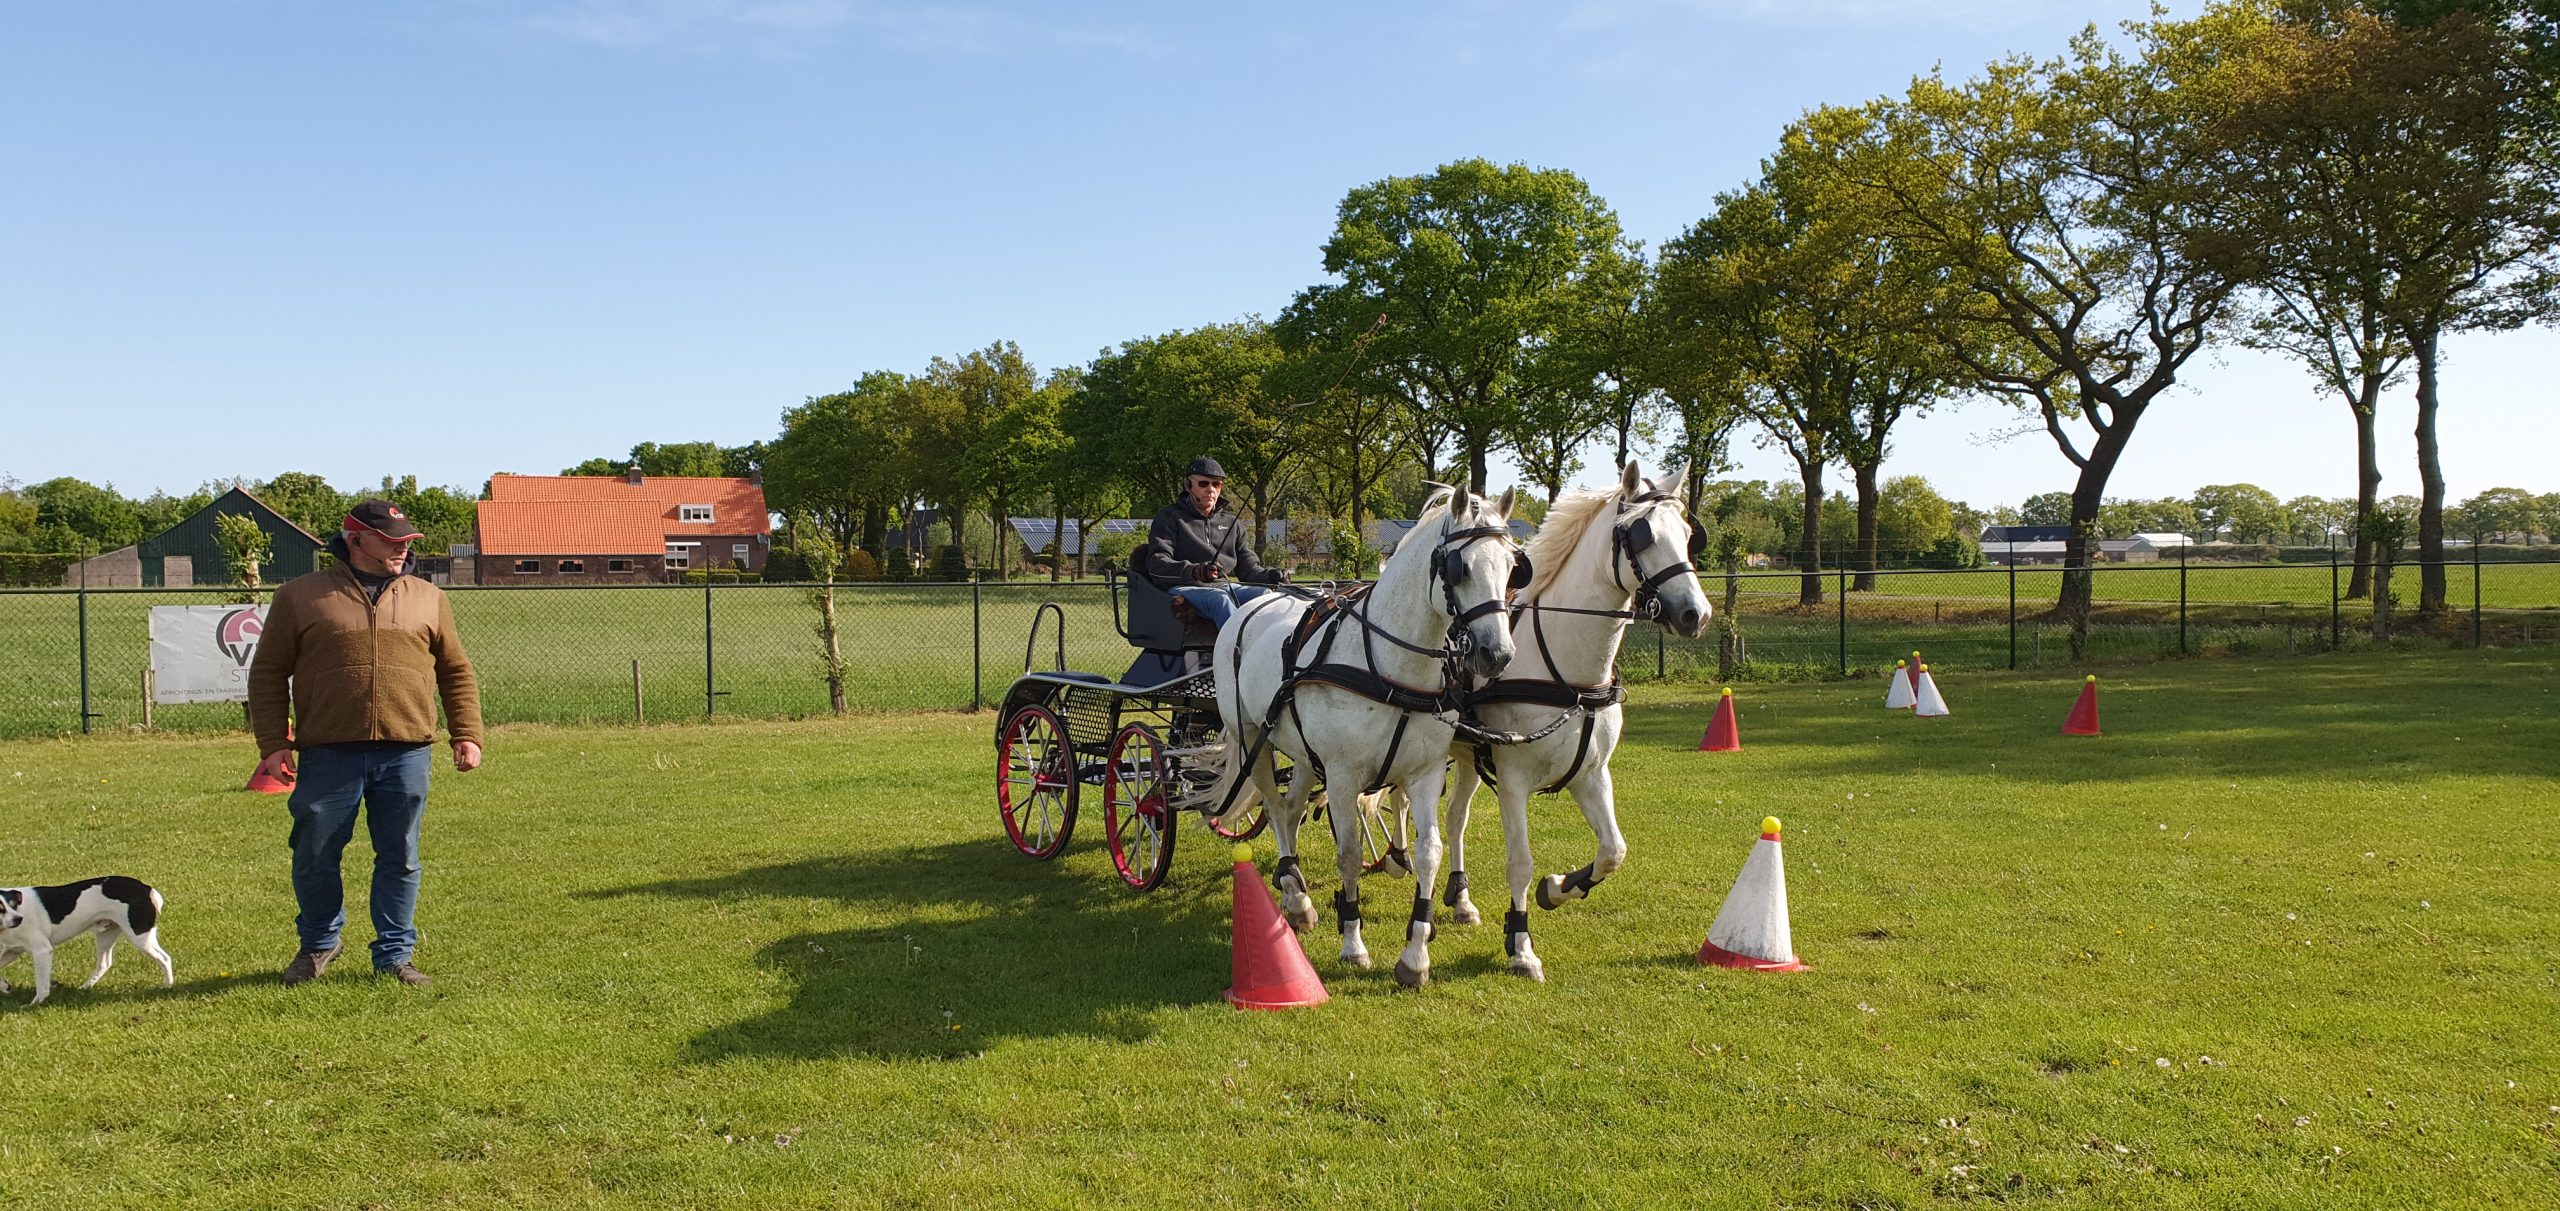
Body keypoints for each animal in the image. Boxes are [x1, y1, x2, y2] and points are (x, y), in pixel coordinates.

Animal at [0, 875, 175, 1003]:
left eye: (13, 904)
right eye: (2, 909)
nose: (18, 919)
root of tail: (147, 889)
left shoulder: (42, 951)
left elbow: (41, 983)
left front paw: (37, 1002)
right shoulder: (12, 950)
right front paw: (5, 986)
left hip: (140, 936)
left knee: (164, 958)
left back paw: (167, 986)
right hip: (105, 935)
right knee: (104, 964)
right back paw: (84, 987)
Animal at [1203, 481, 1515, 983]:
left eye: (1510, 565)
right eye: (1460, 567)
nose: (1497, 654)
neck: (1392, 669)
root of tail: (1251, 604)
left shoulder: (1425, 773)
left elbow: (1429, 851)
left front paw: (1415, 955)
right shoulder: (1344, 777)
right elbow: (1348, 853)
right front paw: (1352, 943)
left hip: (1305, 756)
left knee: (1290, 809)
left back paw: (1295, 892)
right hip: (1254, 737)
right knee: (1272, 804)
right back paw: (1295, 895)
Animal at [1443, 458, 1720, 978]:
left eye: (1689, 534)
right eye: (1642, 537)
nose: (1696, 613)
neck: (1568, 676)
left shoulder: (1591, 774)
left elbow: (1613, 851)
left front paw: (1558, 888)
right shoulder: (1513, 781)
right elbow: (1520, 863)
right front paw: (1520, 945)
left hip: (1466, 755)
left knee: (1453, 817)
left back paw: (1459, 897)